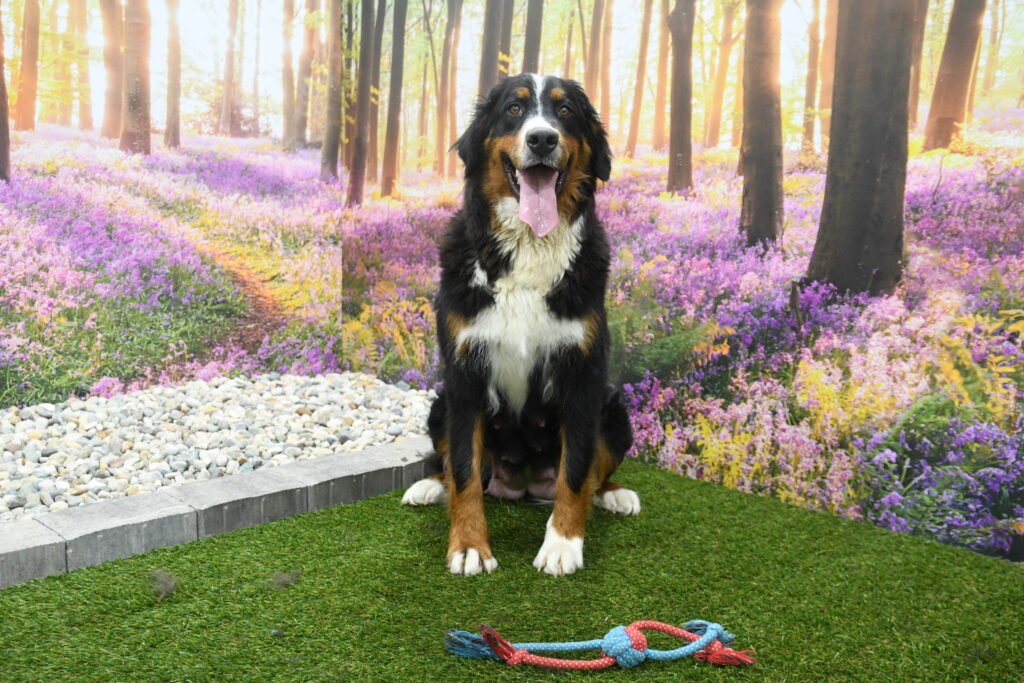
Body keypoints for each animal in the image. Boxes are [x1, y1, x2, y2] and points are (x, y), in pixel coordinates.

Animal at [401, 74, 638, 577]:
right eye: (514, 109)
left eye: (565, 111)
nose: (542, 139)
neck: (528, 248)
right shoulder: (464, 375)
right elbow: (465, 471)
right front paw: (470, 545)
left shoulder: (582, 375)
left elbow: (576, 470)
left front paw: (563, 543)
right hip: (439, 403)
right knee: (453, 466)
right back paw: (429, 485)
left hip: (614, 406)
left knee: (594, 474)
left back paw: (616, 495)